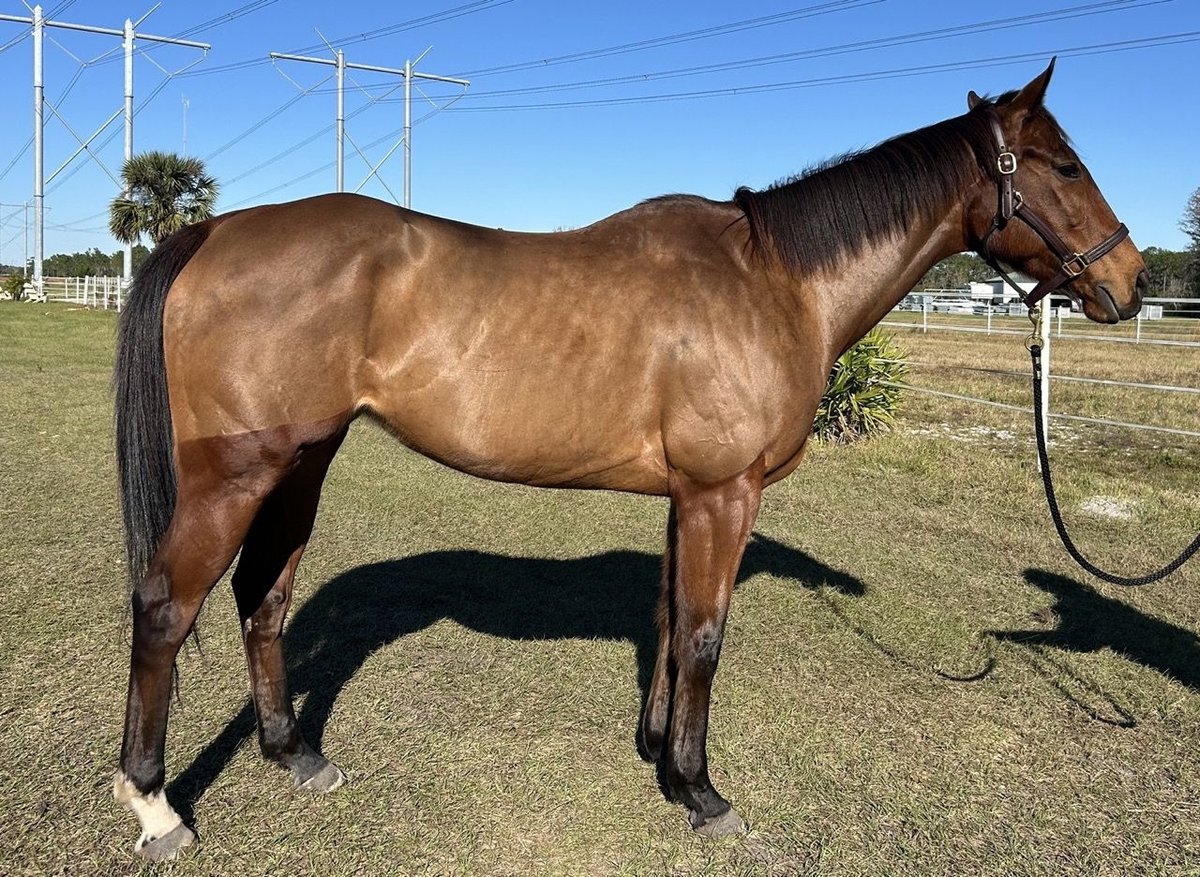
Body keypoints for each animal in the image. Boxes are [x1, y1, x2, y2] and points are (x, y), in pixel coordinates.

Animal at [111, 60, 1146, 859]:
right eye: (1065, 163)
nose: (1129, 281)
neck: (774, 283)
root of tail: (215, 229)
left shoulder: (689, 495)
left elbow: (669, 617)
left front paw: (658, 755)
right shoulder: (725, 493)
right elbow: (705, 634)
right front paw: (703, 791)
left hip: (303, 462)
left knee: (264, 597)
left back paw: (295, 754)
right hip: (237, 474)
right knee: (165, 606)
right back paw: (155, 806)